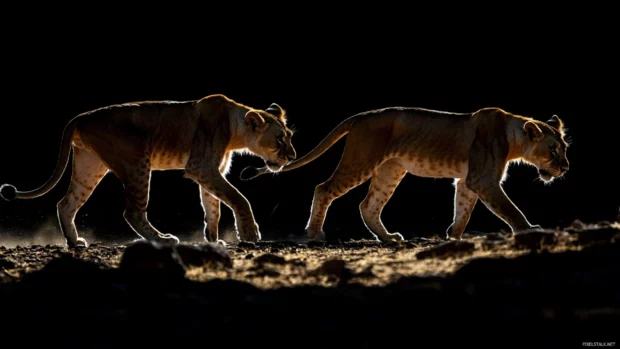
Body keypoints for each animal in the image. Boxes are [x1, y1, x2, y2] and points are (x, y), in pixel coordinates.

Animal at [0, 94, 298, 247]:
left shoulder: (211, 170)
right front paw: (249, 233)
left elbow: (213, 208)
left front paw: (213, 242)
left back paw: (74, 242)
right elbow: (238, 199)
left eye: (290, 137)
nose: (293, 156)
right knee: (132, 211)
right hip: (137, 162)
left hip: (90, 165)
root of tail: (80, 117)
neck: (236, 130)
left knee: (66, 203)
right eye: (279, 140)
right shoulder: (200, 166)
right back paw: (163, 239)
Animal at [240, 106, 568, 242]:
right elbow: (510, 209)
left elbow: (463, 208)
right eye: (553, 149)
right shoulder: (483, 179)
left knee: (368, 205)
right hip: (362, 160)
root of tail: (359, 116)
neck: (514, 139)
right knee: (324, 189)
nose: (565, 167)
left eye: (565, 148)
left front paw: (453, 236)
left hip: (390, 170)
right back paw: (315, 233)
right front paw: (529, 229)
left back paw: (388, 238)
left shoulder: (467, 180)